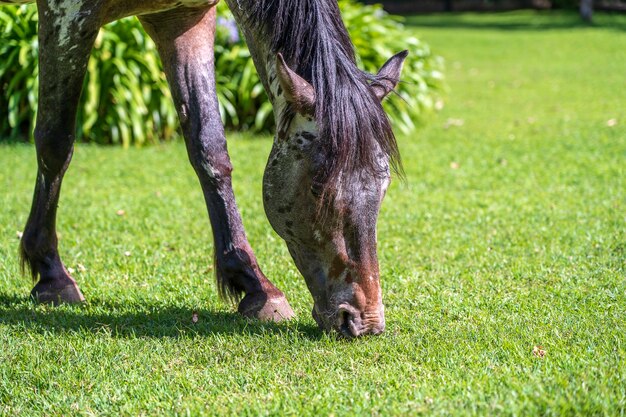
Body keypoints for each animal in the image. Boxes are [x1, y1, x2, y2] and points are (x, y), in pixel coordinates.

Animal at [7, 0, 408, 338]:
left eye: (384, 186)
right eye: (317, 187)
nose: (363, 321)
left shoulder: (183, 18)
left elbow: (209, 146)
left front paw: (254, 284)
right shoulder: (66, 16)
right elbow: (55, 142)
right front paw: (51, 274)